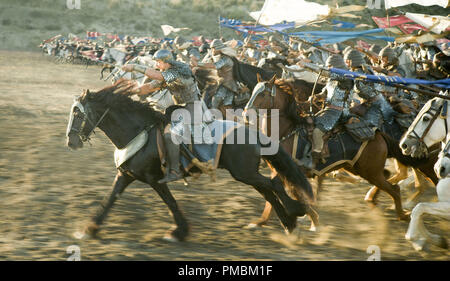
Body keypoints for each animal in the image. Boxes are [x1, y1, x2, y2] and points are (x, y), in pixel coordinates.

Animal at [67, 80, 314, 240]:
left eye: (78, 114)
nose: (71, 142)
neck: (139, 132)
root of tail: (253, 132)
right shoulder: (126, 175)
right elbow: (110, 199)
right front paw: (90, 228)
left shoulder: (154, 180)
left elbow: (171, 203)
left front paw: (179, 232)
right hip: (246, 174)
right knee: (268, 190)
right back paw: (289, 224)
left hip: (244, 172)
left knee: (273, 185)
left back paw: (296, 213)